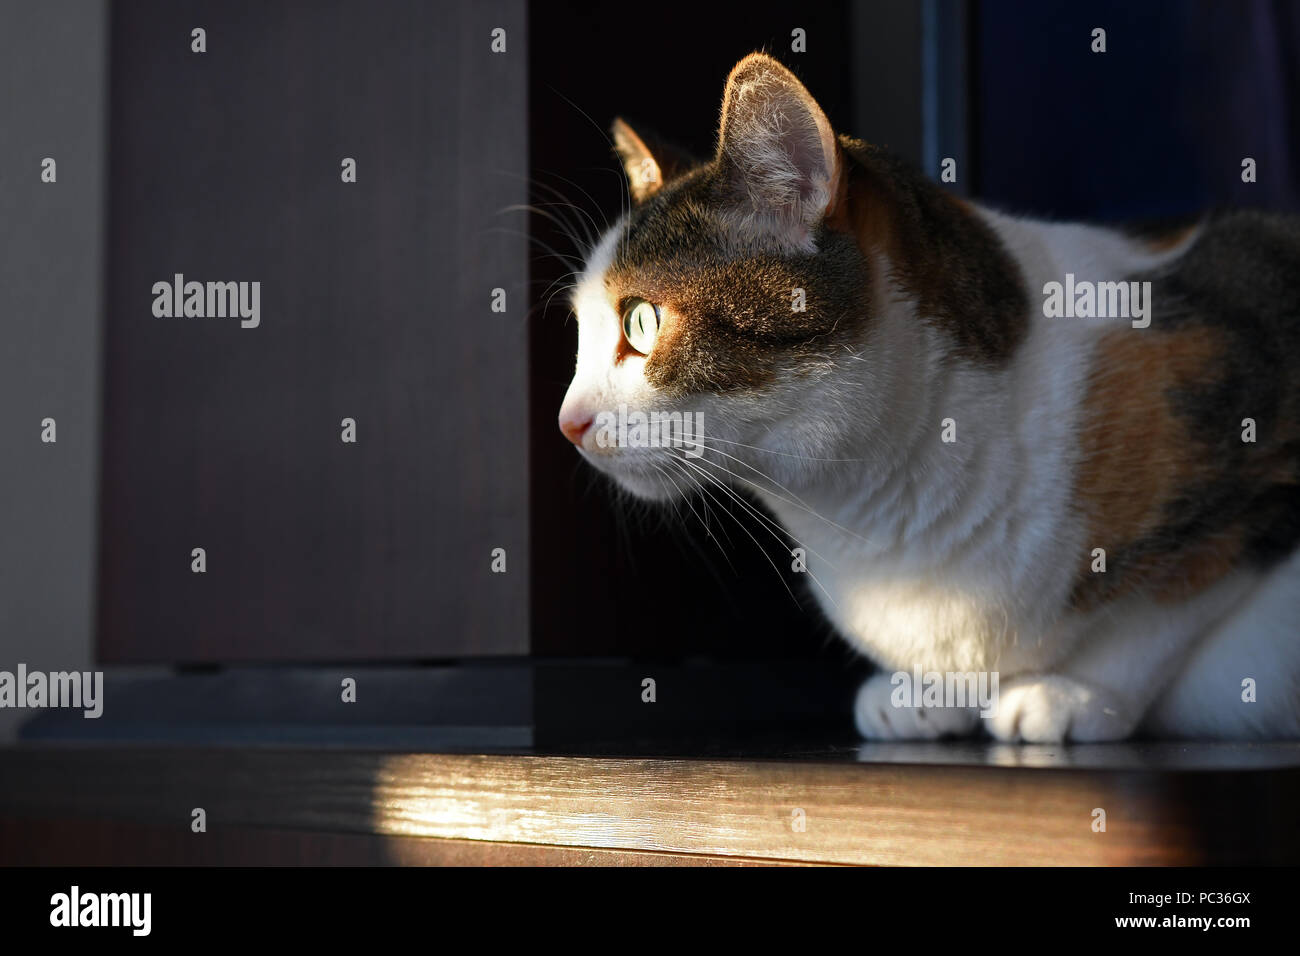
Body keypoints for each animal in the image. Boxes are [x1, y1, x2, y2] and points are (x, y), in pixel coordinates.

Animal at [556, 52, 1300, 743]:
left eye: (641, 322)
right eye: (579, 330)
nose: (567, 423)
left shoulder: (1252, 459)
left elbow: (1163, 611)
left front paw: (1075, 693)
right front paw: (921, 696)